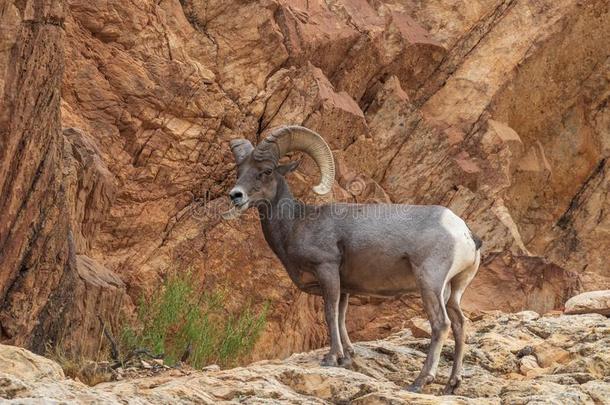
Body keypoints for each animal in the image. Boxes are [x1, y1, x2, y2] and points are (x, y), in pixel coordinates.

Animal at [223, 125, 480, 392]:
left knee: (441, 324)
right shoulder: (345, 287)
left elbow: (329, 313)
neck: (297, 223)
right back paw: (452, 385)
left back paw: (419, 382)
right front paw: (347, 357)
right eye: (240, 171)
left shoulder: (327, 271)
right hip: (453, 290)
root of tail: (465, 233)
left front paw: (331, 358)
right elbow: (341, 317)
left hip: (430, 283)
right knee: (460, 324)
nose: (235, 195)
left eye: (266, 171)